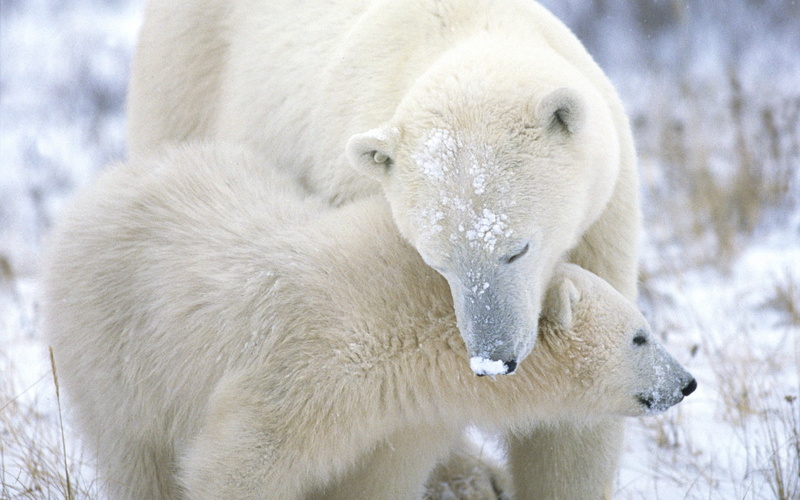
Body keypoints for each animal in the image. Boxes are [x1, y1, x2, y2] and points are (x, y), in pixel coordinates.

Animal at [43, 144, 695, 500]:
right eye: (640, 334)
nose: (686, 383)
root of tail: (91, 194)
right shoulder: (301, 369)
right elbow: (235, 463)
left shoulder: (401, 420)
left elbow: (376, 480)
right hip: (115, 344)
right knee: (134, 453)